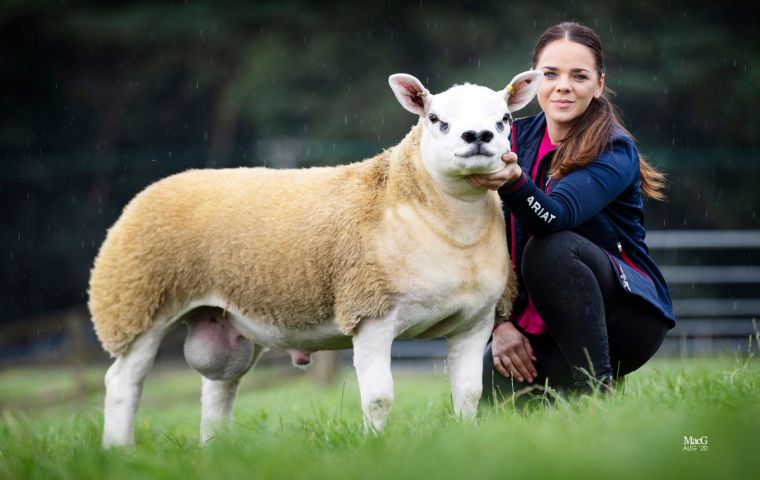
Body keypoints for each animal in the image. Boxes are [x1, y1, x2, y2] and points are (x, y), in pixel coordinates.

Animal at [87, 70, 540, 446]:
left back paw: (214, 448)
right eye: (435, 118)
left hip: (225, 318)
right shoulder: (370, 312)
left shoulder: (474, 321)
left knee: (219, 389)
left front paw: (466, 438)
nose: (477, 136)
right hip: (138, 302)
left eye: (505, 119)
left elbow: (468, 394)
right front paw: (375, 447)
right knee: (123, 382)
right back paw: (118, 450)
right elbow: (378, 398)